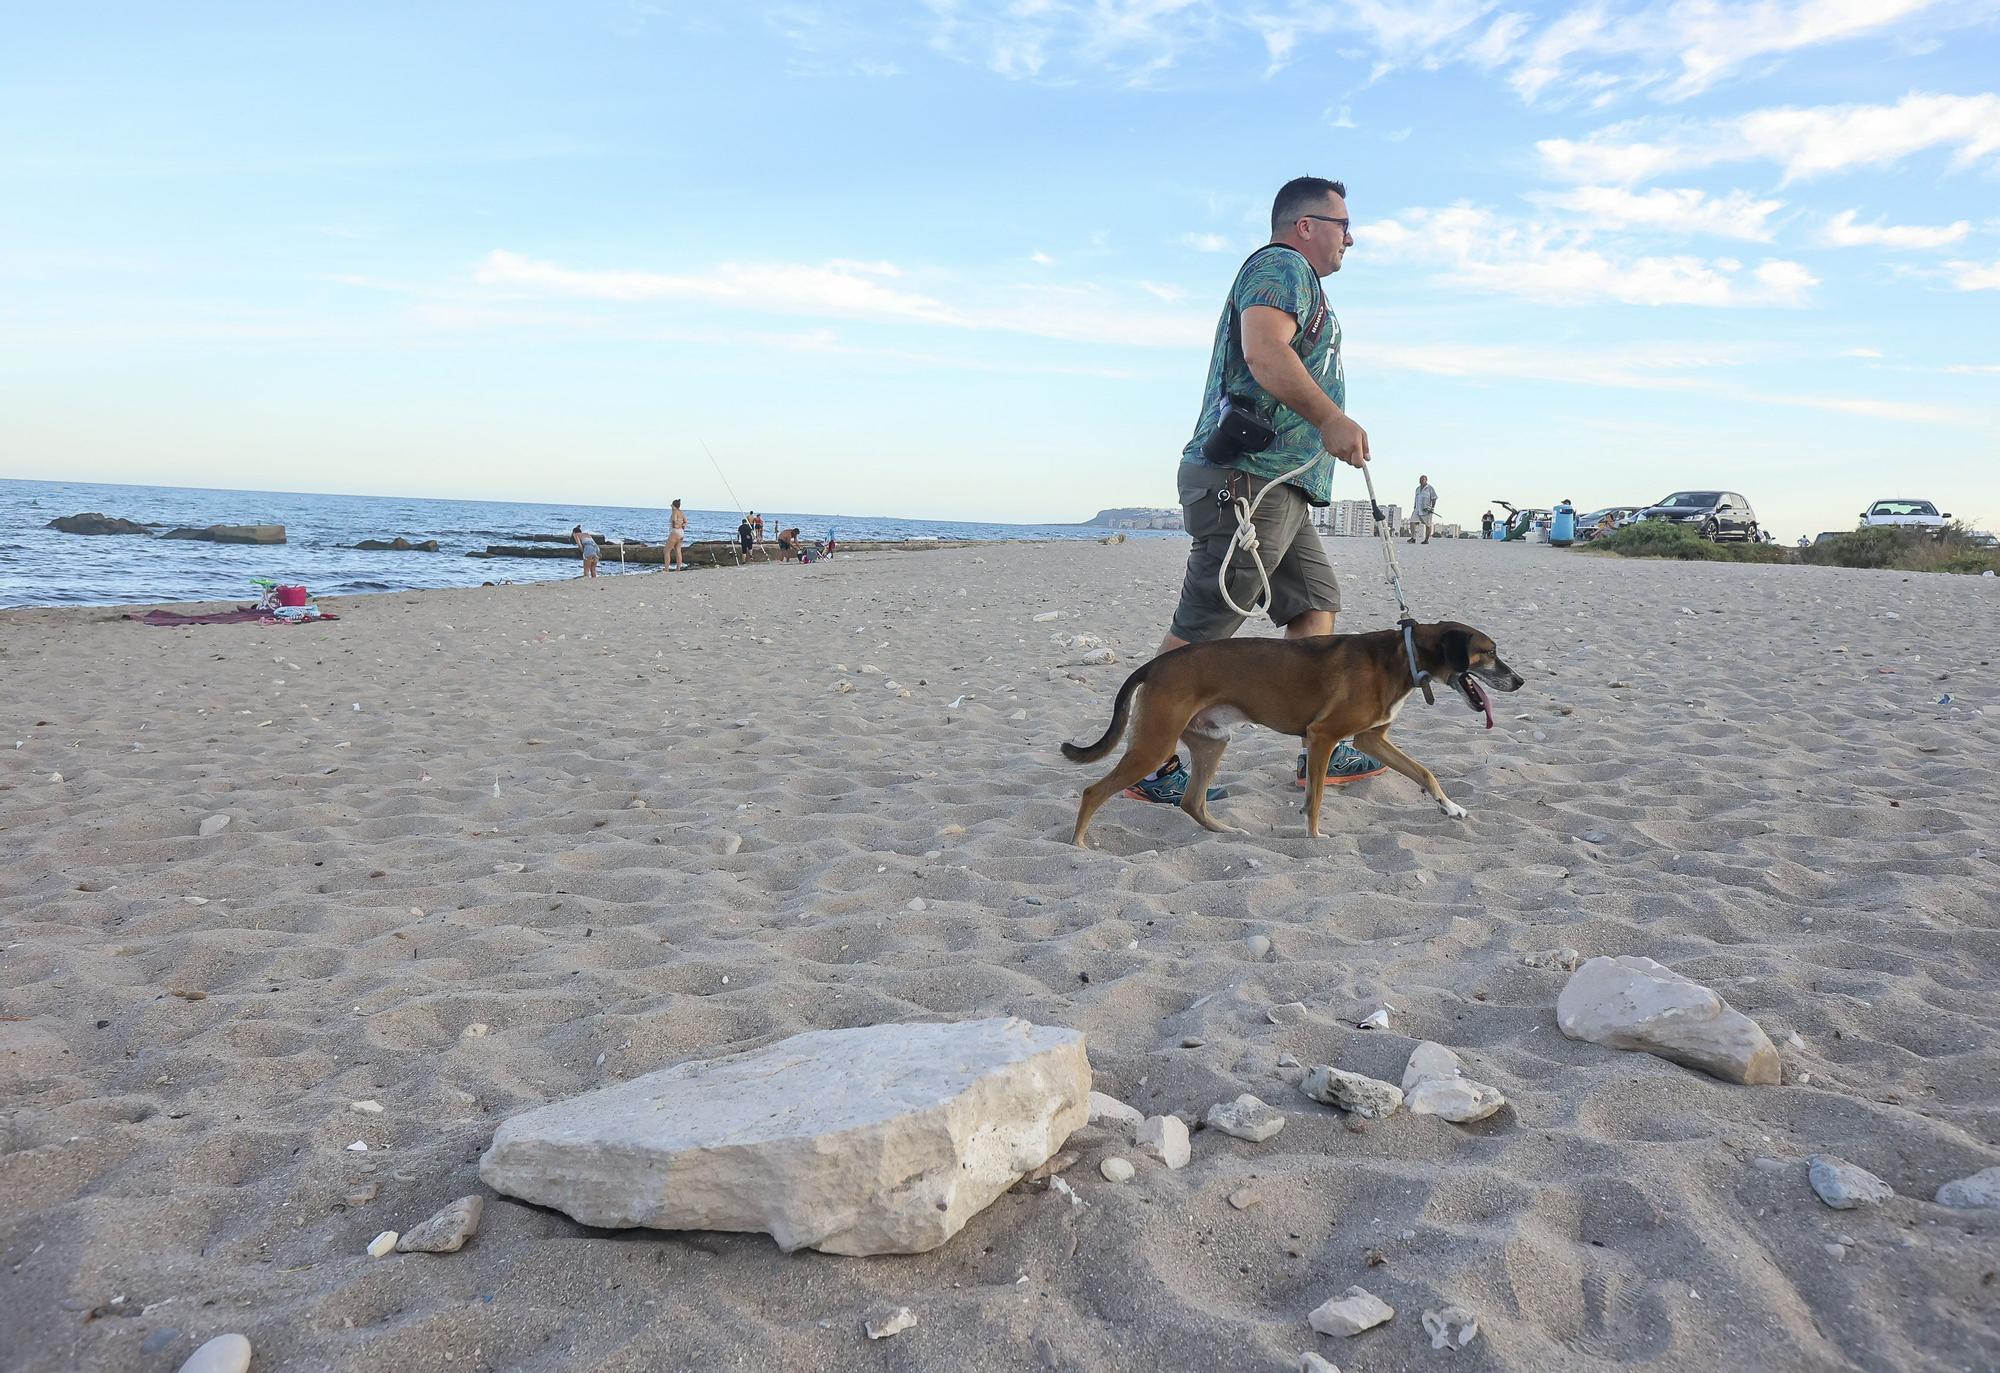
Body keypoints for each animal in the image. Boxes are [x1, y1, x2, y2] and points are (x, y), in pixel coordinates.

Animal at [1064, 620, 1512, 844]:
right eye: (1489, 652)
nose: (1520, 680)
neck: (1405, 653)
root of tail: (1155, 665)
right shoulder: (1323, 736)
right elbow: (1315, 799)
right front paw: (1315, 839)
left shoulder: (1371, 739)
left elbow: (1424, 772)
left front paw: (1450, 808)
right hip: (1155, 747)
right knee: (1092, 792)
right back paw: (1080, 847)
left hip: (1212, 743)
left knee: (1192, 803)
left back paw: (1229, 832)